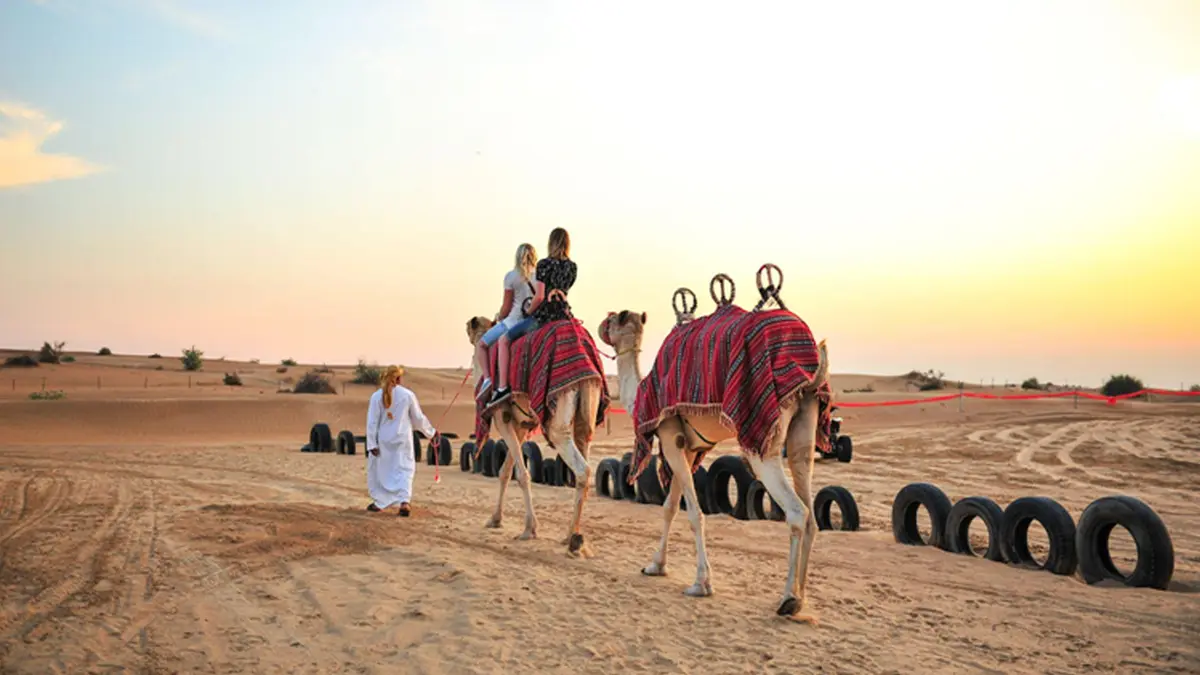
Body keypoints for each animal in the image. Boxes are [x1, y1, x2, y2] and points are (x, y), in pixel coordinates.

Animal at [465, 313, 608, 558]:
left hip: (559, 415)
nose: (467, 326)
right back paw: (572, 534)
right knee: (584, 455)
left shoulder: (502, 417)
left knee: (582, 469)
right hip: (588, 408)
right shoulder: (521, 424)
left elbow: (521, 474)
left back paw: (574, 541)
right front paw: (495, 519)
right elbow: (505, 471)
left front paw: (529, 529)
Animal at [598, 269, 831, 618]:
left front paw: (701, 584)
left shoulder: (669, 435)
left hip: (763, 438)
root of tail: (811, 370)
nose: (601, 323)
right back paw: (801, 598)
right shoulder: (686, 448)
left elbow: (695, 514)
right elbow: (669, 507)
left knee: (796, 511)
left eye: (613, 319)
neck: (639, 392)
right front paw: (655, 566)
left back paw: (788, 598)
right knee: (811, 508)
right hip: (804, 426)